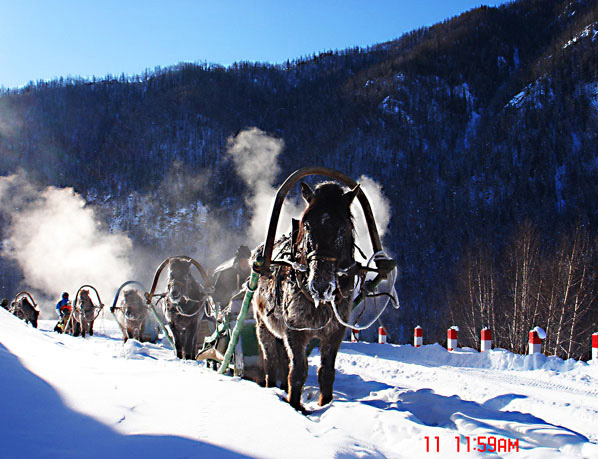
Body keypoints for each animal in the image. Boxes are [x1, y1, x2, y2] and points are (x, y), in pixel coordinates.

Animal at [254, 182, 360, 414]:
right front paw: (295, 406)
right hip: (263, 326)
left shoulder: (335, 333)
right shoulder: (295, 331)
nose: (320, 286)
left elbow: (326, 373)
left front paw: (325, 404)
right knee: (271, 361)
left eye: (343, 228)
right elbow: (298, 373)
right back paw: (270, 387)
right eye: (308, 226)